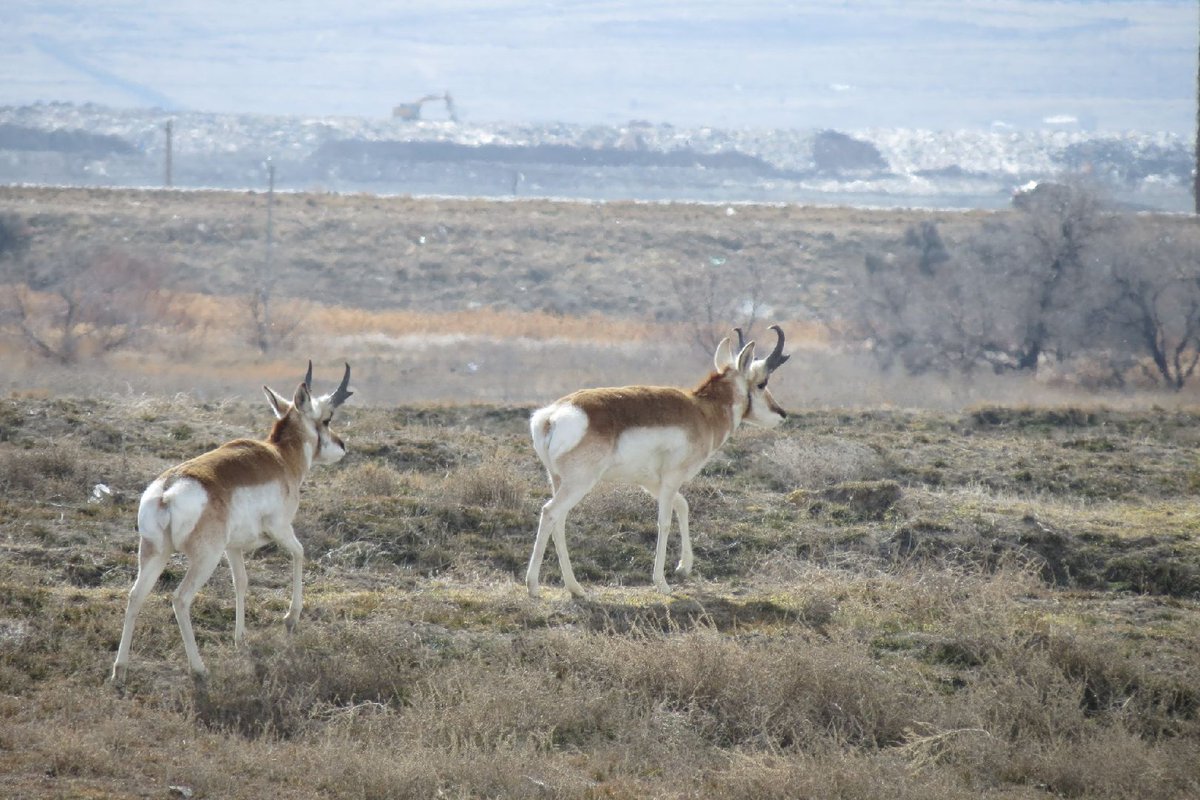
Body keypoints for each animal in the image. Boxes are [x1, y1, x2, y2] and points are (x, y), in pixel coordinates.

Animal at [111, 362, 353, 685]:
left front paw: (240, 638)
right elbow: (299, 553)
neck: (280, 457)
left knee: (135, 596)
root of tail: (167, 491)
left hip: (154, 554)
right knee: (180, 599)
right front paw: (290, 619)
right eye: (326, 419)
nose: (342, 446)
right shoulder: (280, 529)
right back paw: (199, 669)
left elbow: (242, 582)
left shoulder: (234, 548)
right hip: (205, 559)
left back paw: (119, 671)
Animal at [526, 326, 790, 598]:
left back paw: (576, 588)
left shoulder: (653, 483)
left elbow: (683, 505)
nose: (782, 414)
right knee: (549, 512)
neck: (702, 411)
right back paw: (533, 586)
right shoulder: (671, 480)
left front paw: (683, 567)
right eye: (761, 383)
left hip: (558, 481)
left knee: (559, 521)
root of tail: (550, 417)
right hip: (578, 484)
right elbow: (664, 522)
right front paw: (662, 583)